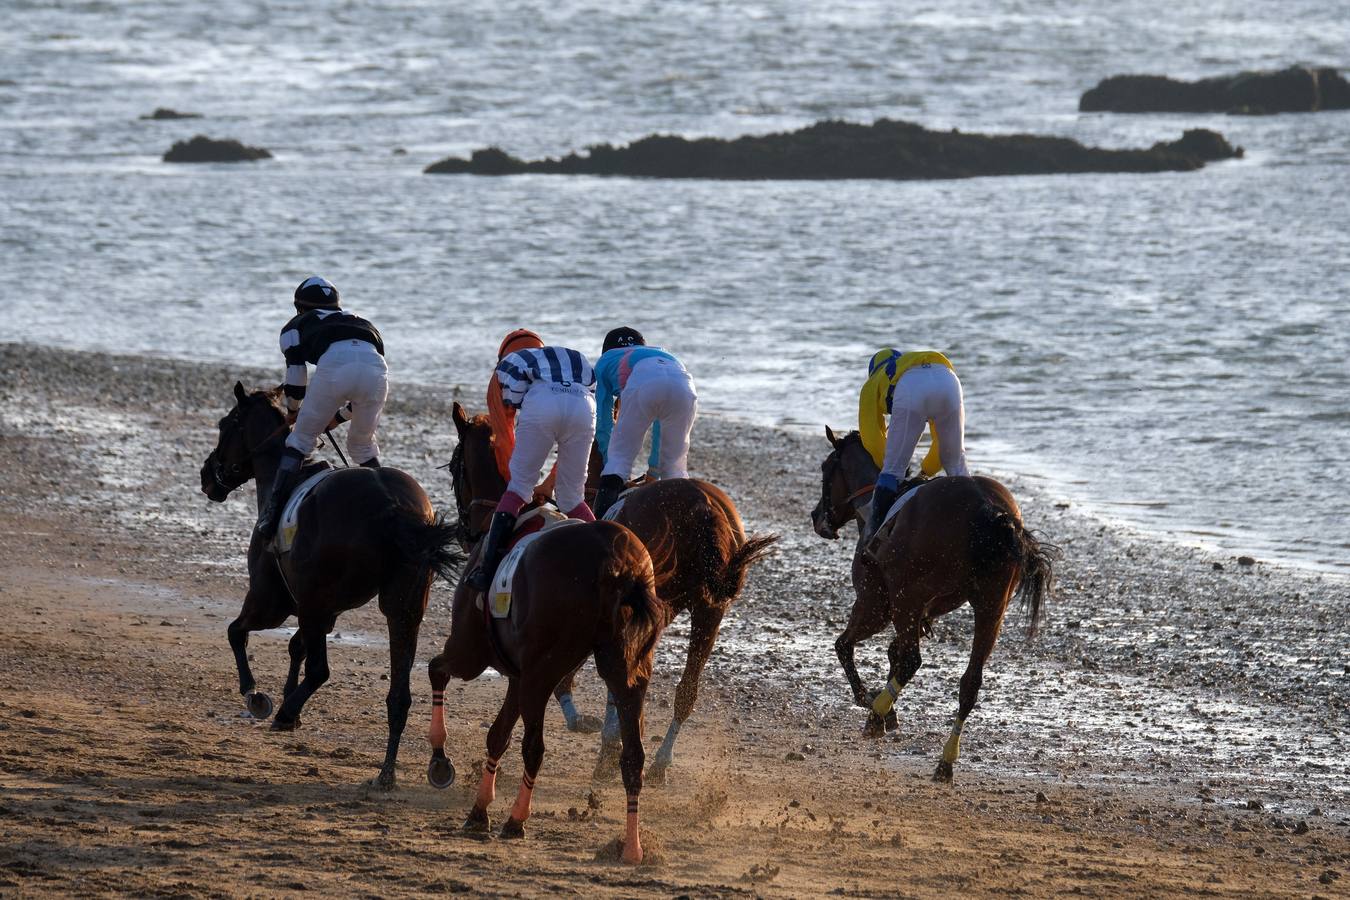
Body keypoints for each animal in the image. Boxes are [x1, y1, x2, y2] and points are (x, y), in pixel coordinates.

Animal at [198, 383, 464, 788]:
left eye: (224, 424)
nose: (206, 476)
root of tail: (393, 507)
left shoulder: (273, 601)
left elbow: (236, 631)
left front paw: (257, 695)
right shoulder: (326, 610)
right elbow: (296, 646)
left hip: (306, 602)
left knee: (320, 670)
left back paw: (284, 713)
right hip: (403, 605)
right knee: (399, 694)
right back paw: (404, 768)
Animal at [426, 520, 669, 863]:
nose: (464, 532)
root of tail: (615, 560)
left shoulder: (474, 654)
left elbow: (437, 671)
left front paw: (439, 759)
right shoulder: (519, 676)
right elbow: (498, 736)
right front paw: (479, 809)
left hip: (534, 672)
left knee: (534, 748)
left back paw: (516, 820)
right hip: (624, 674)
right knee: (633, 757)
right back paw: (632, 847)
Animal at [448, 402, 777, 782]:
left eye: (455, 468)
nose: (467, 532)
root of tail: (704, 506)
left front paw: (598, 737)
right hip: (710, 610)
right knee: (686, 691)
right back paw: (660, 761)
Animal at [804, 429, 1058, 782]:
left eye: (826, 468)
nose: (817, 517)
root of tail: (991, 513)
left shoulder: (876, 604)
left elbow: (846, 646)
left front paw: (873, 702)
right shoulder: (922, 611)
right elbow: (892, 652)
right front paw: (886, 706)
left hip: (907, 598)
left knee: (911, 660)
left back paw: (875, 717)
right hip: (992, 605)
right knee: (970, 682)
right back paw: (945, 761)